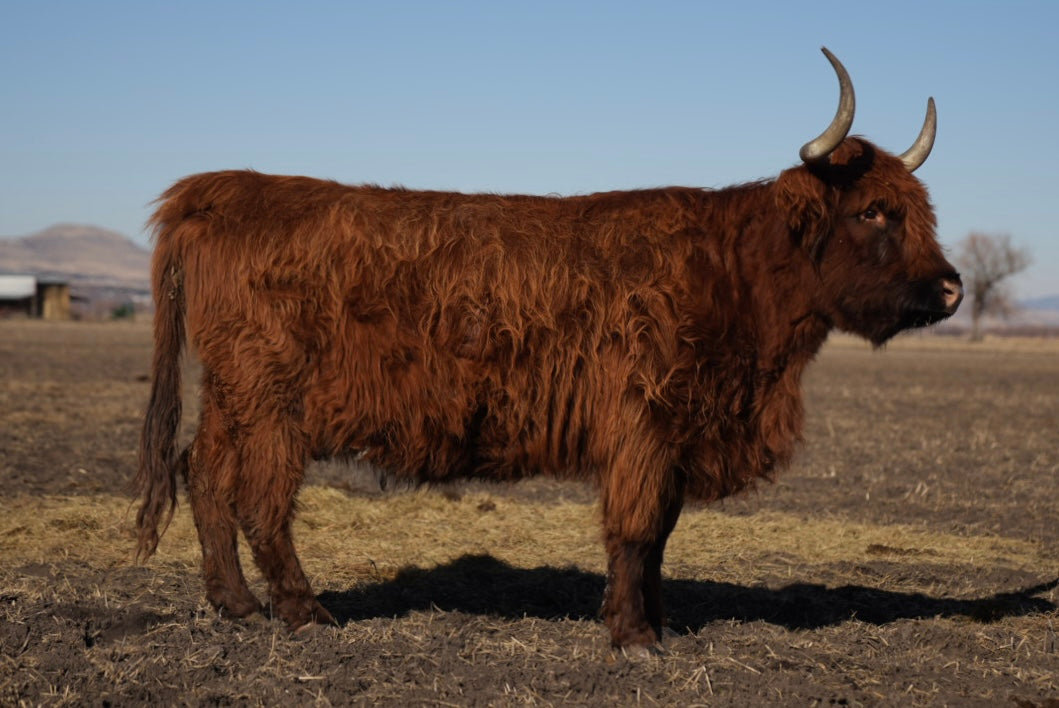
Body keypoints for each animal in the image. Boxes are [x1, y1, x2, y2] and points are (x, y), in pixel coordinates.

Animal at [135, 48, 962, 653]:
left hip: (231, 394)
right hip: (272, 401)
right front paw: (632, 636)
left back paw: (236, 605)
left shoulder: (674, 435)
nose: (952, 288)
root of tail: (218, 191)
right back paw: (304, 611)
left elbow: (659, 536)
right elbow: (635, 529)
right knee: (260, 500)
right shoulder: (643, 424)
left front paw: (655, 622)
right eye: (872, 212)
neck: (734, 274)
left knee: (203, 475)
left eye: (919, 211)